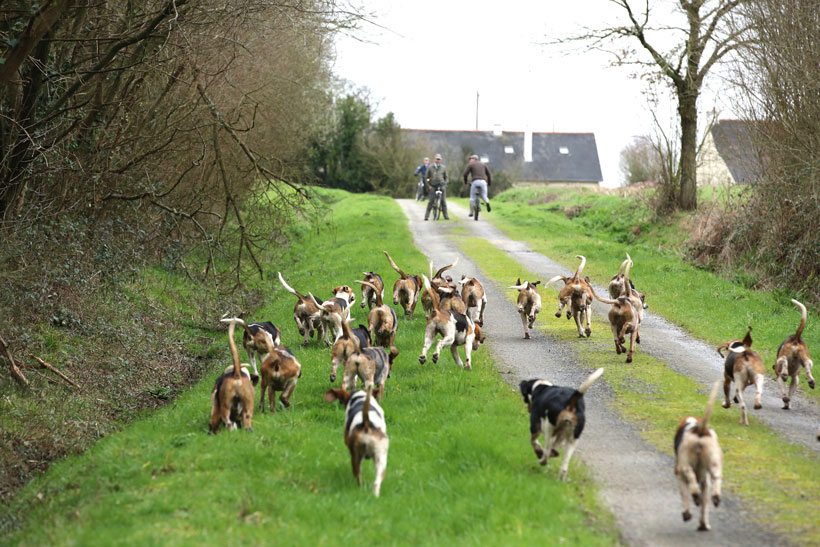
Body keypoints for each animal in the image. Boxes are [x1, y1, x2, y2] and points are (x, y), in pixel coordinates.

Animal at [672, 382, 724, 532]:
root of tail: (700, 429)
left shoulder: (680, 476)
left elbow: (685, 495)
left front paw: (687, 513)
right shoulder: (706, 482)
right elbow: (704, 506)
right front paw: (703, 524)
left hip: (684, 465)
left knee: (691, 480)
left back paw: (695, 495)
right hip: (714, 464)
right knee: (716, 479)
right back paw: (715, 497)